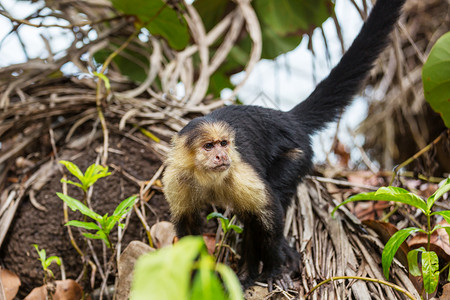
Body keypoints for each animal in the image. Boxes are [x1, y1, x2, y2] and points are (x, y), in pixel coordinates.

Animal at [163, 0, 408, 290]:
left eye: (223, 143)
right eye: (209, 147)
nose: (222, 155)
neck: (207, 177)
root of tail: (287, 118)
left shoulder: (240, 173)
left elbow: (269, 213)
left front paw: (274, 268)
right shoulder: (177, 180)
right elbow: (188, 229)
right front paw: (192, 277)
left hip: (299, 153)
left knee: (267, 204)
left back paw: (261, 267)